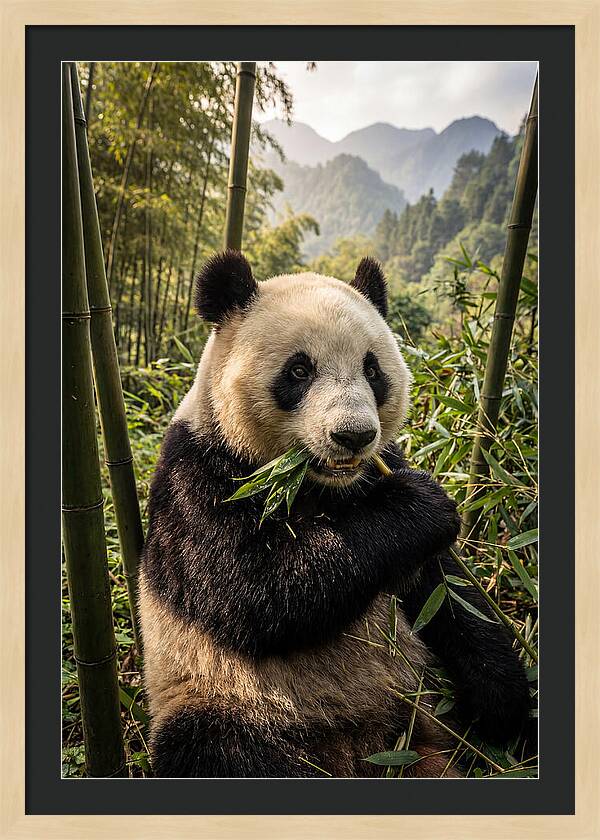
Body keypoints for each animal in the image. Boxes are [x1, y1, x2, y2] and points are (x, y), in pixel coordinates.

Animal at [139, 250, 531, 778]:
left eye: (372, 369)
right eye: (299, 371)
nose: (353, 435)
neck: (316, 483)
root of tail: (363, 750)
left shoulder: (383, 470)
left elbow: (448, 594)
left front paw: (502, 702)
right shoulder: (198, 473)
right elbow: (252, 589)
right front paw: (421, 506)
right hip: (223, 698)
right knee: (214, 749)